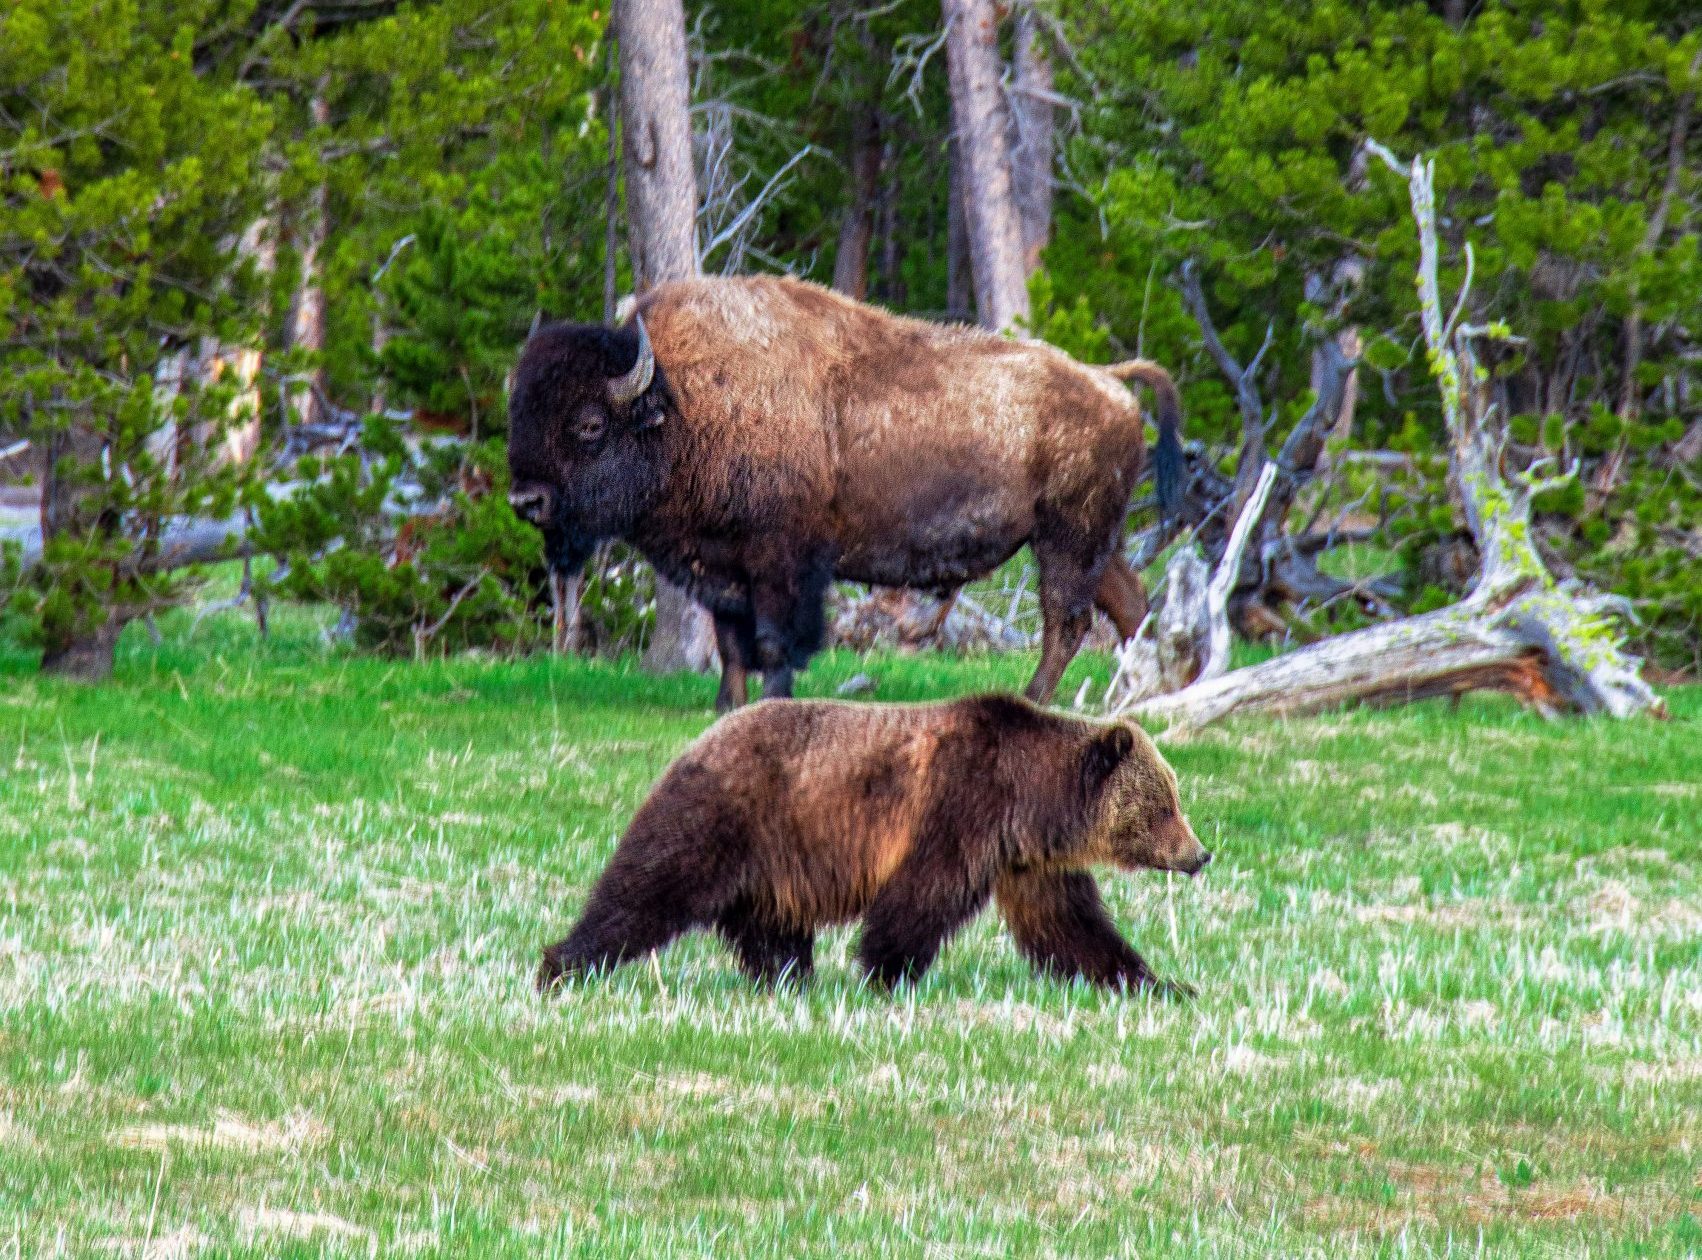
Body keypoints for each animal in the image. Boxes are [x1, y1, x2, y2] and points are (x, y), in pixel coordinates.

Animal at [500, 274, 1184, 708]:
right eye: (519, 413)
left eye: (588, 425)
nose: (526, 502)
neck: (685, 401)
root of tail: (1108, 379)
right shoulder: (718, 564)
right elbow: (730, 643)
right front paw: (726, 706)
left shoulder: (779, 560)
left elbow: (773, 639)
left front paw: (772, 702)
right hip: (1094, 540)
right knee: (1128, 604)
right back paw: (1146, 694)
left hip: (1066, 537)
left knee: (1066, 618)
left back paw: (1037, 699)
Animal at [534, 687, 1211, 994]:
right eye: (1165, 804)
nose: (1200, 854)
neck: (1031, 798)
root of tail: (699, 739)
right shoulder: (961, 808)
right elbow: (920, 896)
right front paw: (888, 972)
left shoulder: (1029, 860)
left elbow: (1071, 925)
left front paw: (1159, 983)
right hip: (727, 813)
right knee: (646, 889)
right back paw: (562, 965)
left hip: (774, 859)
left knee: (769, 925)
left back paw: (787, 979)